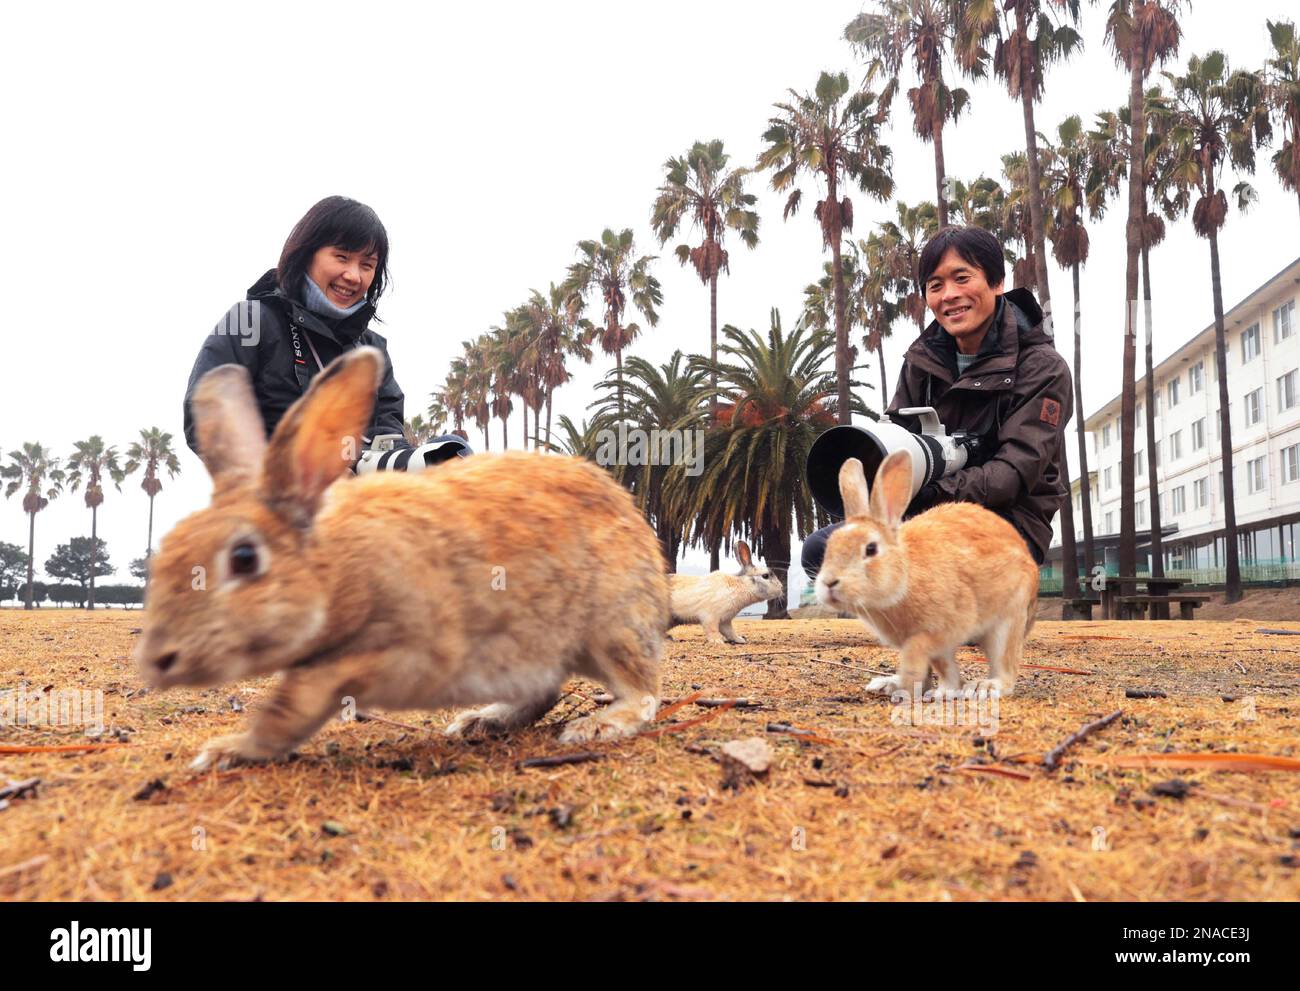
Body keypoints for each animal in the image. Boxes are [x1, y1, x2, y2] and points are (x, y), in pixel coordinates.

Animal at [134, 347, 668, 771]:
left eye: (244, 559)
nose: (158, 660)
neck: (335, 570)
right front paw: (228, 751)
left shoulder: (408, 650)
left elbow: (295, 702)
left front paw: (226, 749)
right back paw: (482, 721)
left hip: (611, 628)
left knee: (642, 692)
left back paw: (595, 726)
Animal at [813, 451, 1038, 699]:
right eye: (830, 546)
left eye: (871, 549)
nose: (829, 583)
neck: (906, 576)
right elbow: (939, 665)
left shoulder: (945, 628)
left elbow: (924, 653)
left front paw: (941, 691)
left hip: (1008, 620)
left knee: (1005, 665)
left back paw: (985, 687)